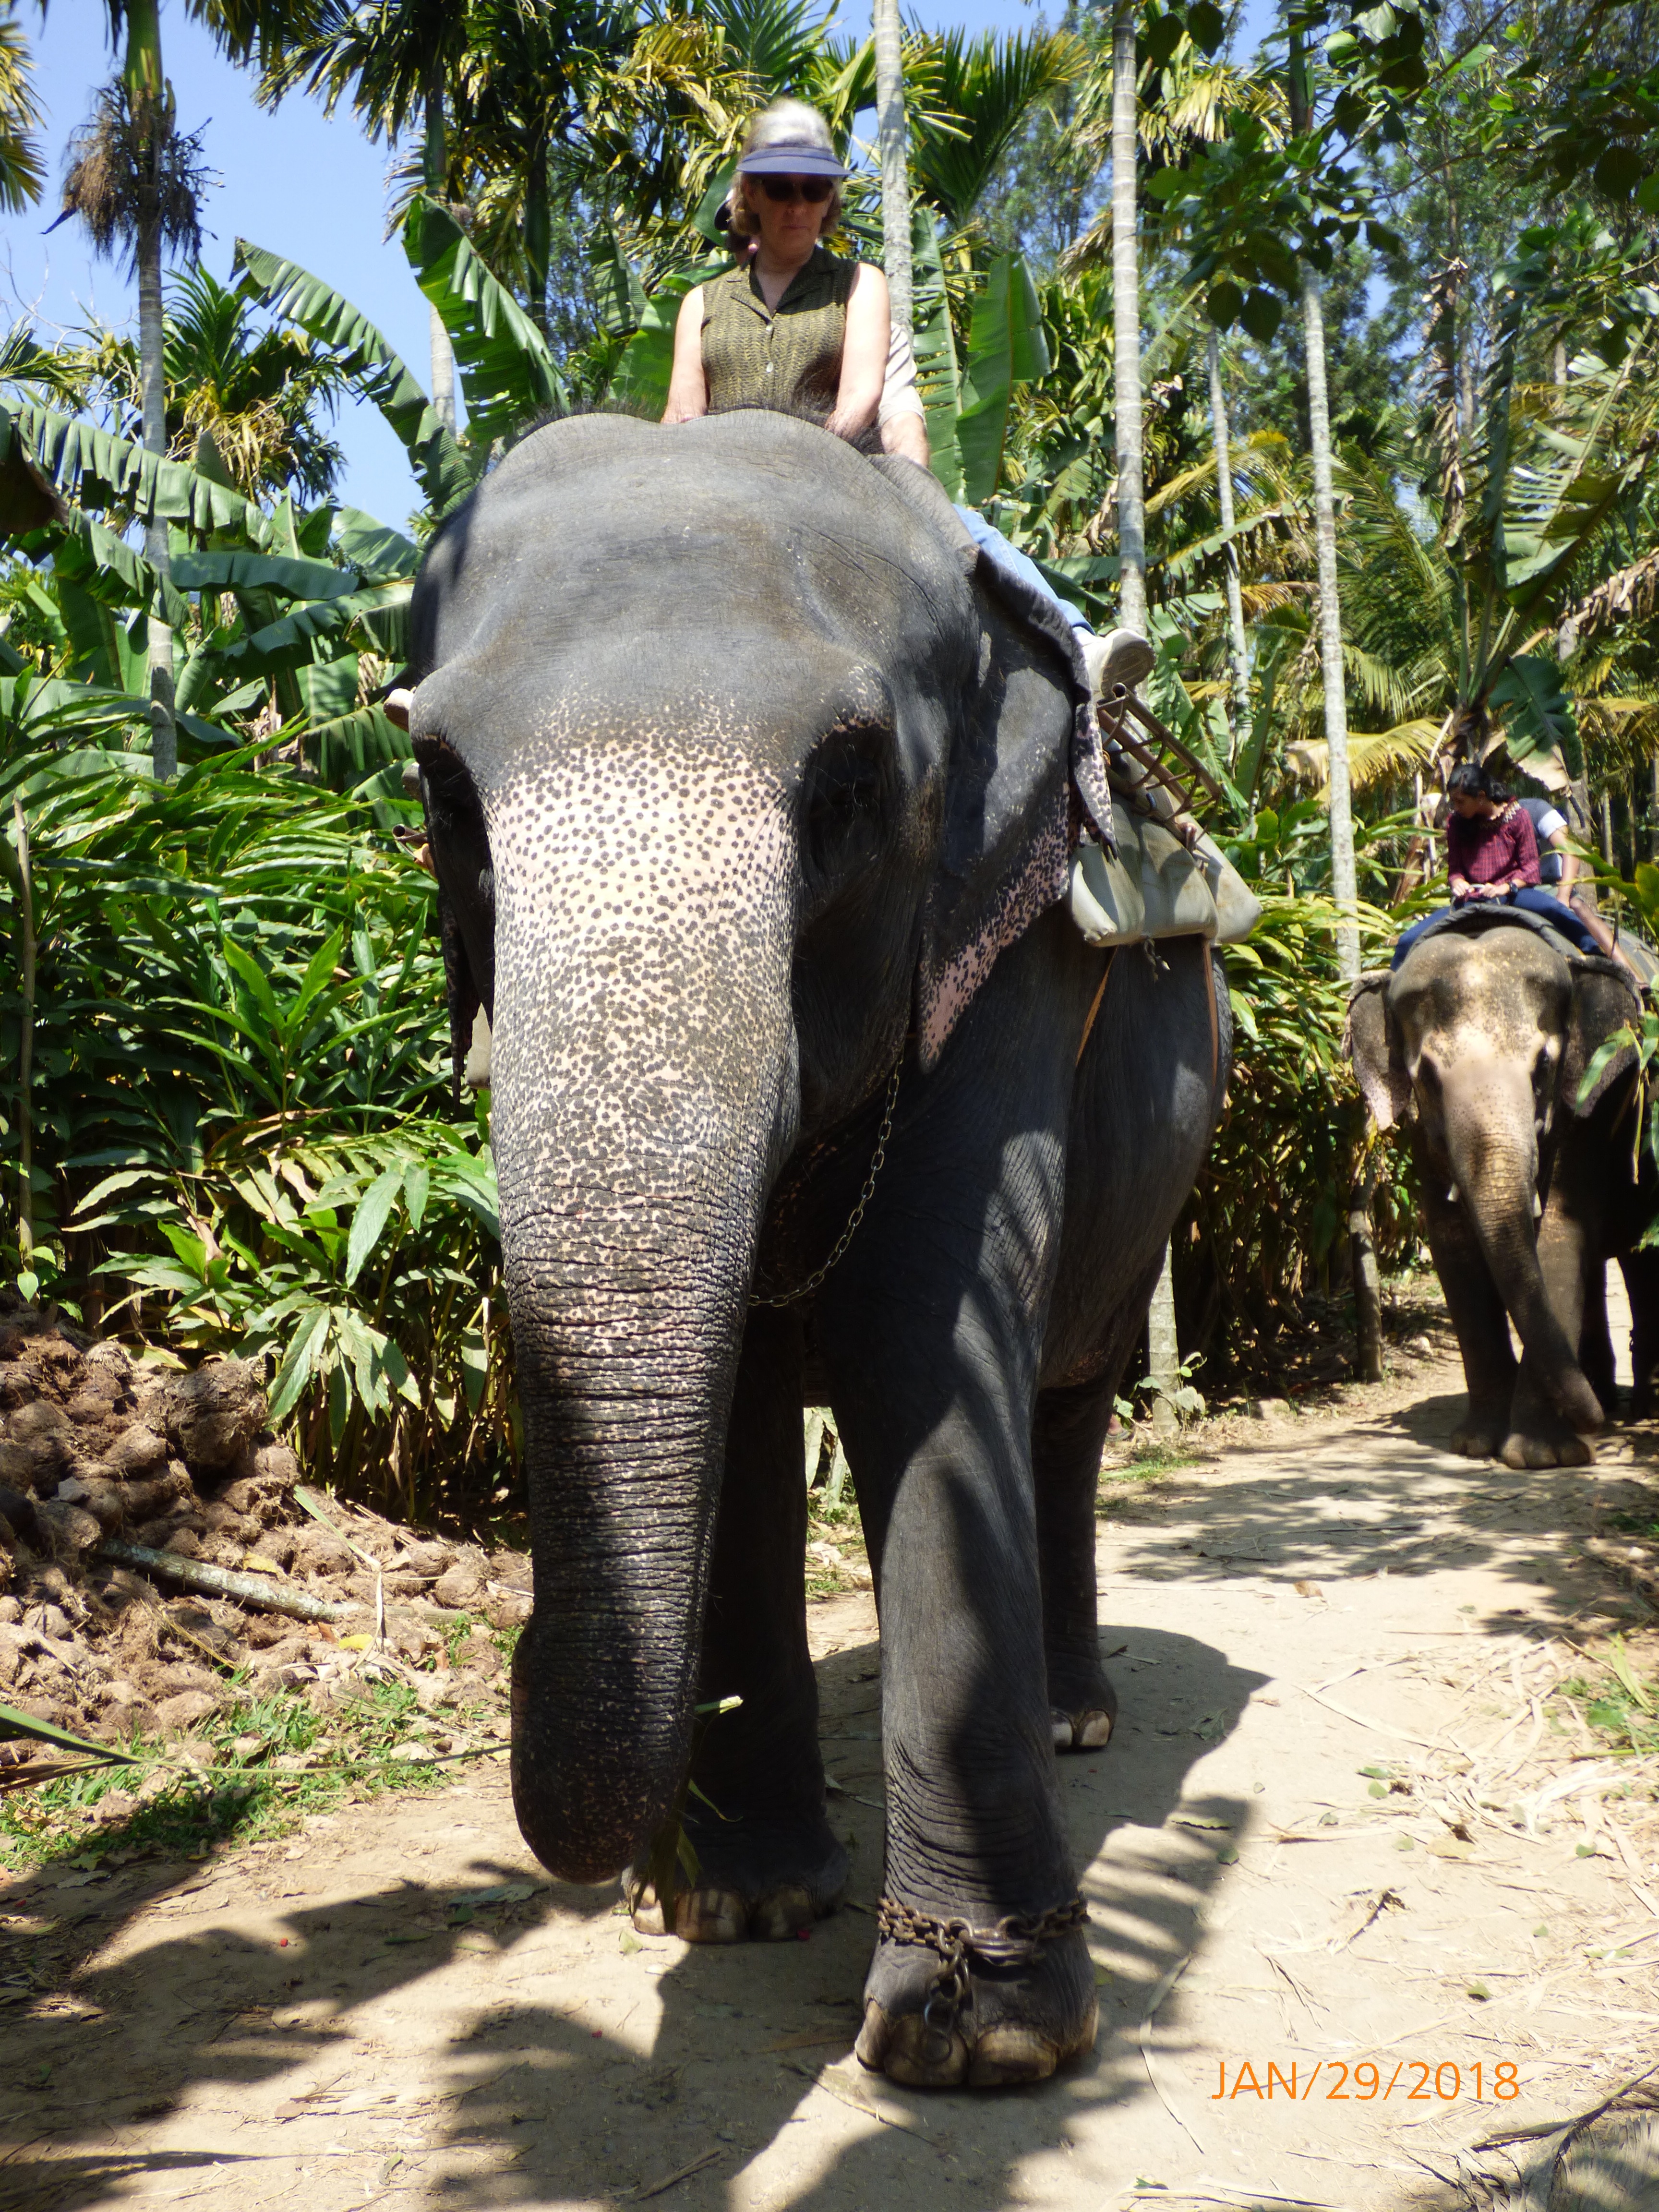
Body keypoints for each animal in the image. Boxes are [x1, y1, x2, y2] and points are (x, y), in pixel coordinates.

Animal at [404, 410, 1235, 2090]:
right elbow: (734, 1405)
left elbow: (922, 1344)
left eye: (853, 784)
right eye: (440, 788)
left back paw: (1076, 1724)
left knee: (1067, 1405)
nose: (509, 1652)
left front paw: (979, 2039)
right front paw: (736, 1905)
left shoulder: (1003, 950)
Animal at [1347, 910, 1659, 1467]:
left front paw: (1539, 1456)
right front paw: (1476, 1446)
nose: (1593, 1431)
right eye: (1427, 1078)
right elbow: (1452, 1244)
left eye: (1544, 1069)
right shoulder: (1421, 1132)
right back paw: (1605, 1396)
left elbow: (1560, 1233)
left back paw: (1638, 1407)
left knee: (1640, 1260)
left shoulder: (1587, 1104)